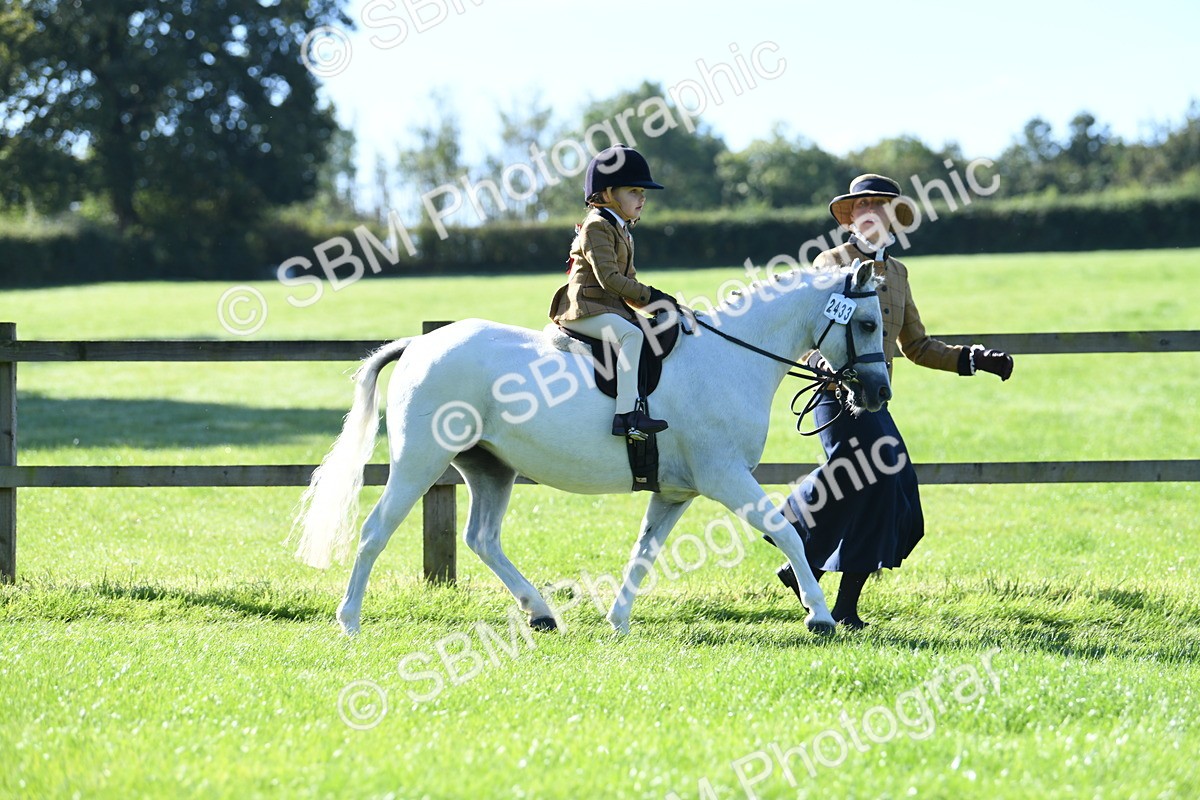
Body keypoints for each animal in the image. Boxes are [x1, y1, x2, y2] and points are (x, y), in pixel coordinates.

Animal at [293, 259, 890, 636]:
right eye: (866, 322)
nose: (878, 393)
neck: (732, 358)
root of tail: (419, 344)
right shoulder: (726, 477)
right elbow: (786, 531)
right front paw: (819, 617)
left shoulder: (675, 492)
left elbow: (644, 551)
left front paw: (618, 621)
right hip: (420, 462)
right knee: (376, 531)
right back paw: (349, 620)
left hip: (490, 469)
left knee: (482, 538)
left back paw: (541, 613)